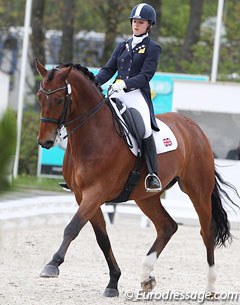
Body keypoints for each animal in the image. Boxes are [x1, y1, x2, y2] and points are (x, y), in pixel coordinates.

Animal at [34, 57, 239, 296]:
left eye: (58, 100)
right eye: (39, 97)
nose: (45, 141)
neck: (93, 135)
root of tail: (194, 127)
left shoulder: (96, 192)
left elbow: (73, 227)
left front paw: (52, 265)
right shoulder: (81, 195)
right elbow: (102, 238)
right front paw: (113, 282)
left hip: (198, 190)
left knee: (207, 231)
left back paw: (210, 287)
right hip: (146, 197)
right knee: (167, 227)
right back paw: (146, 277)